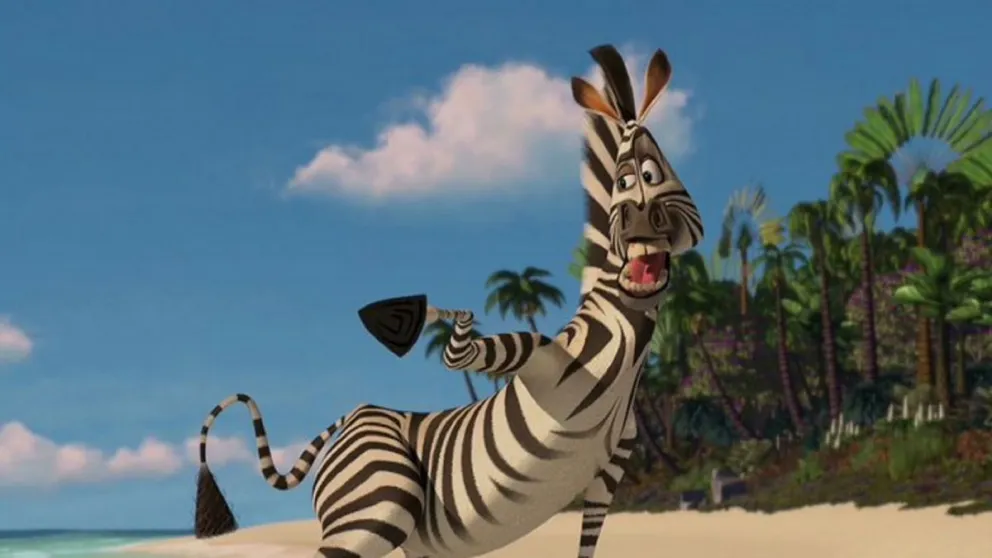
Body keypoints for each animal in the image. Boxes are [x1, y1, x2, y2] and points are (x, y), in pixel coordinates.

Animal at [192, 44, 704, 558]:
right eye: (626, 179)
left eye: (655, 171)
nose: (641, 219)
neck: (617, 347)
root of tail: (354, 417)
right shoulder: (536, 355)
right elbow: (460, 346)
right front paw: (407, 316)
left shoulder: (613, 465)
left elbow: (589, 540)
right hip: (379, 498)